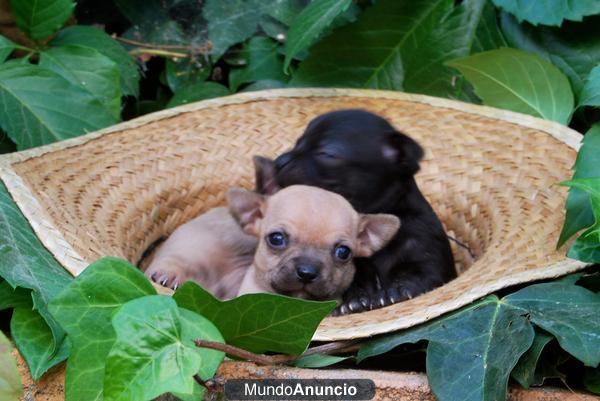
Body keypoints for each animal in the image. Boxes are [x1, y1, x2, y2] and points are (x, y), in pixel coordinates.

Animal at [258, 108, 454, 314]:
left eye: (327, 153)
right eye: (297, 143)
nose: (279, 161)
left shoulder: (426, 254)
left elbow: (420, 276)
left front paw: (398, 290)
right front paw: (353, 301)